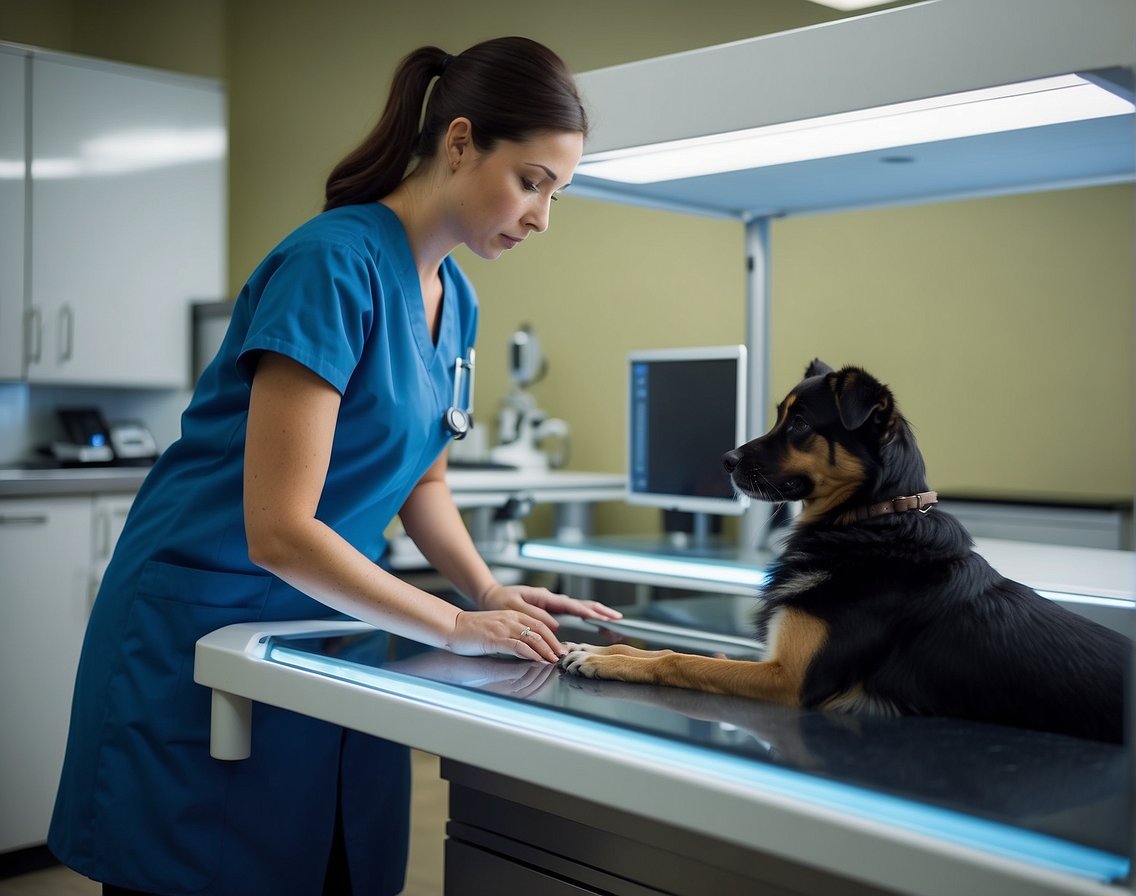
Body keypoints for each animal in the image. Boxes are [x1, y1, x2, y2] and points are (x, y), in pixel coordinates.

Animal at [563, 356, 1131, 740]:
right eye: (778, 416)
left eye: (798, 424)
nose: (724, 460)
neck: (868, 522)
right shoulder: (774, 656)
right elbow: (677, 648)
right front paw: (606, 649)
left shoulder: (789, 678)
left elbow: (683, 661)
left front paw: (607, 660)